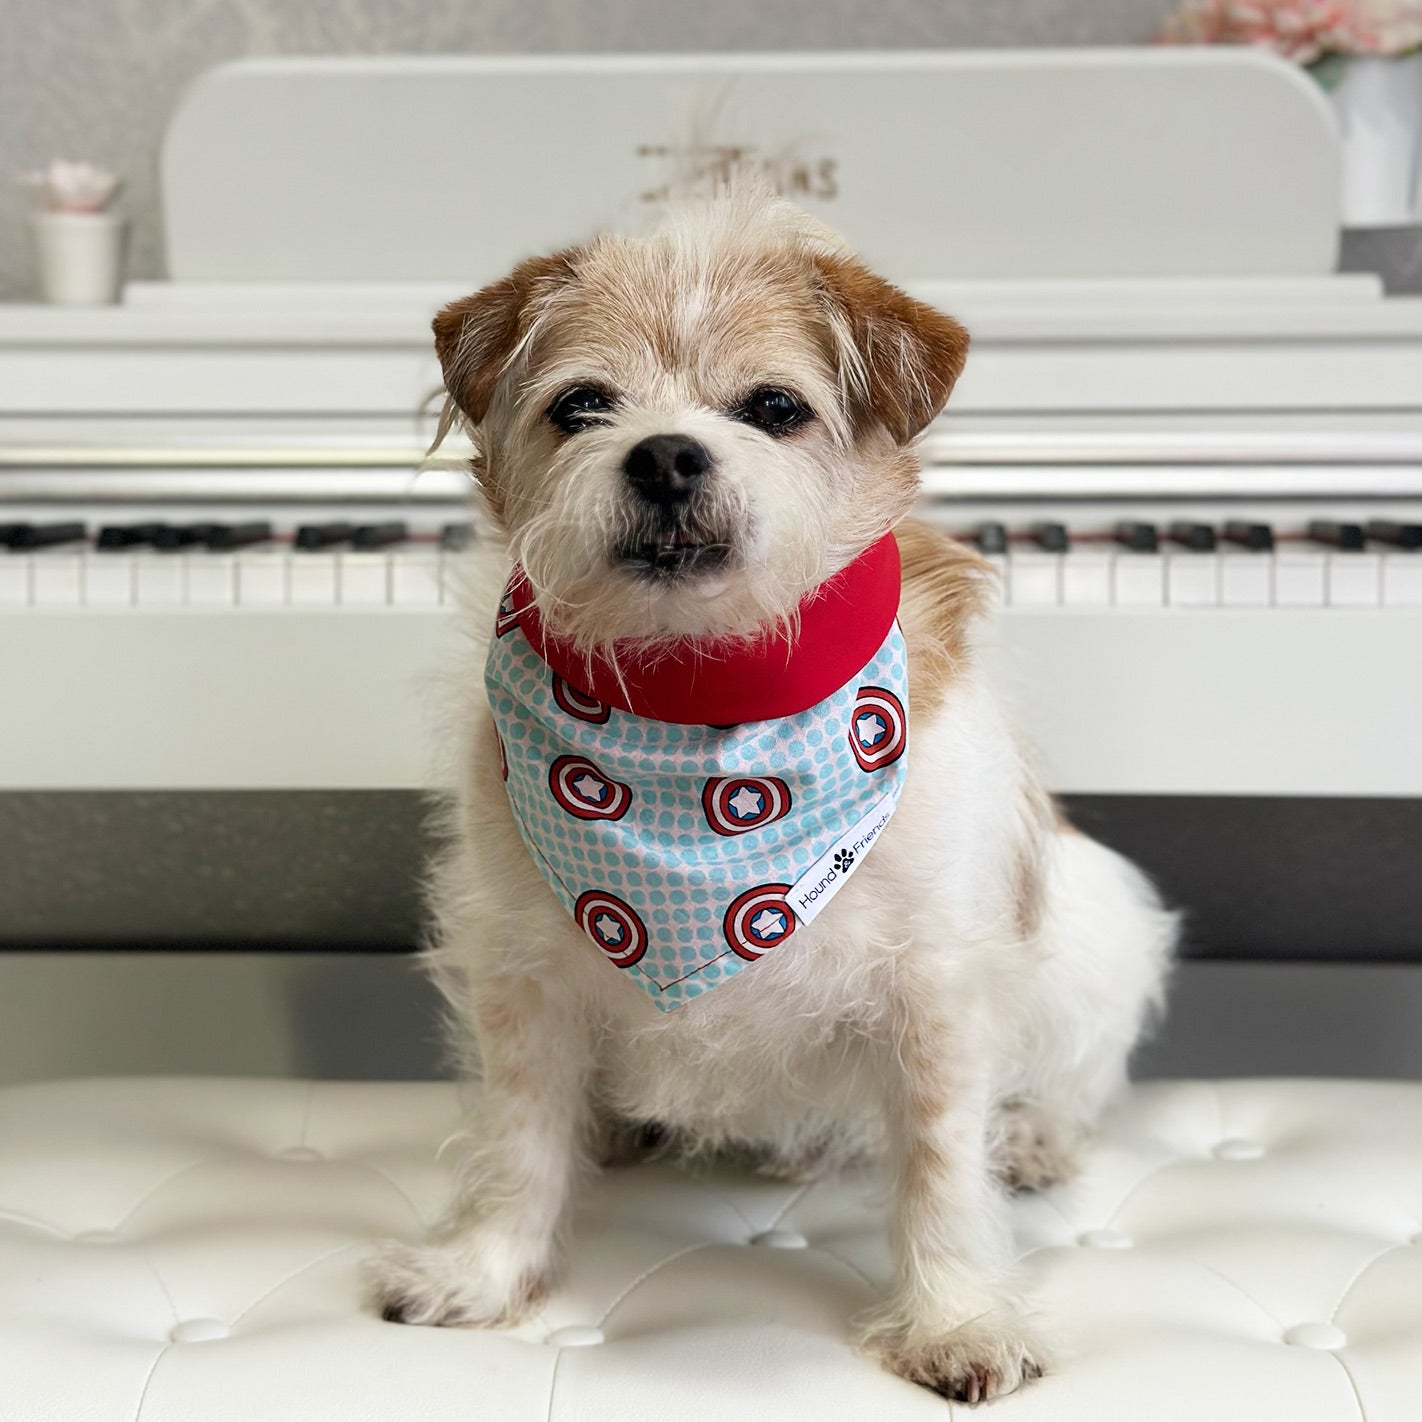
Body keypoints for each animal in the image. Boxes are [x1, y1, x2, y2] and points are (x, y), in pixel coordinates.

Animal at [369, 186, 1177, 1399]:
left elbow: (940, 1165)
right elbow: (516, 1136)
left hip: (1098, 928)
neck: (701, 699)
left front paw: (954, 1318)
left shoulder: (936, 990)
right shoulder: (520, 969)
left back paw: (1030, 1138)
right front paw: (486, 1270)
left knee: (1068, 1084)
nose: (664, 456)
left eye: (774, 407)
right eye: (582, 405)